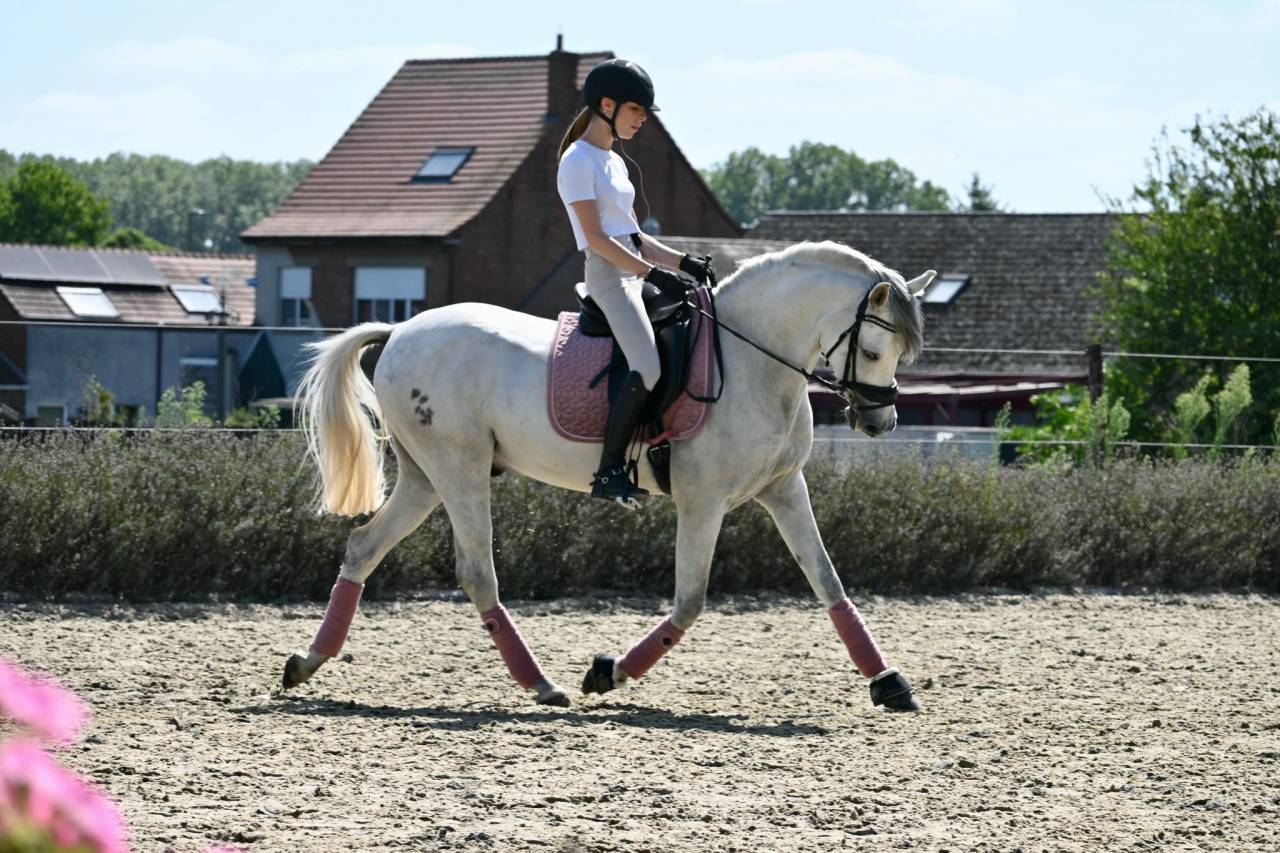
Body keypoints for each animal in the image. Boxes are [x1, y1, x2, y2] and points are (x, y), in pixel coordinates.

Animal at [281, 240, 934, 712]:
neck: (754, 359)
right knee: (476, 572)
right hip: (458, 468)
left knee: (364, 545)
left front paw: (889, 681)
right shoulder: (703, 503)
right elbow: (690, 601)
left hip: (424, 477)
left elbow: (828, 581)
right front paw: (608, 673)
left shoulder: (783, 489)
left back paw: (307, 662)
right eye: (874, 351)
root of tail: (400, 330)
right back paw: (541, 684)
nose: (880, 421)